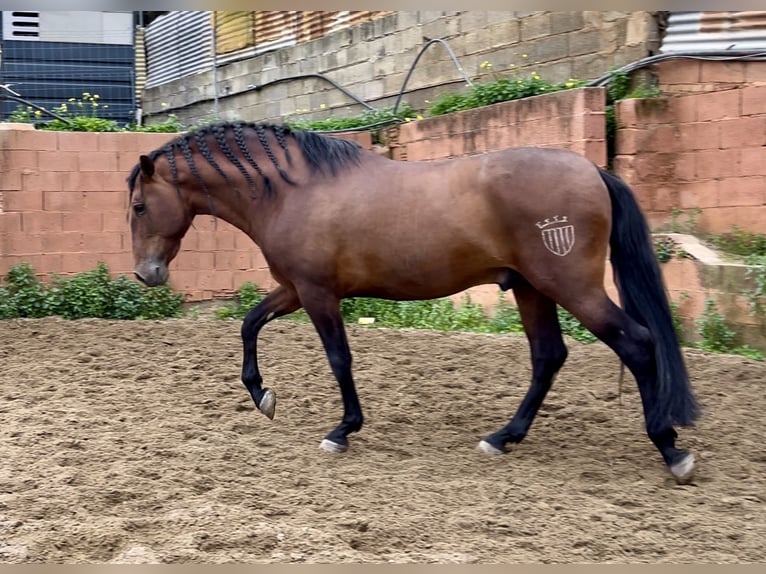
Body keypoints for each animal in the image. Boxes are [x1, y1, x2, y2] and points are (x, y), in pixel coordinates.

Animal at [127, 120, 700, 484]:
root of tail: (592, 171)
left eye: (137, 206)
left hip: (571, 287)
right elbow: (249, 323)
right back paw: (503, 437)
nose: (146, 274)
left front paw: (342, 430)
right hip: (533, 289)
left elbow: (339, 359)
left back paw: (670, 448)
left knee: (637, 344)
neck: (295, 190)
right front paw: (262, 395)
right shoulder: (294, 289)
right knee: (549, 356)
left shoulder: (317, 294)